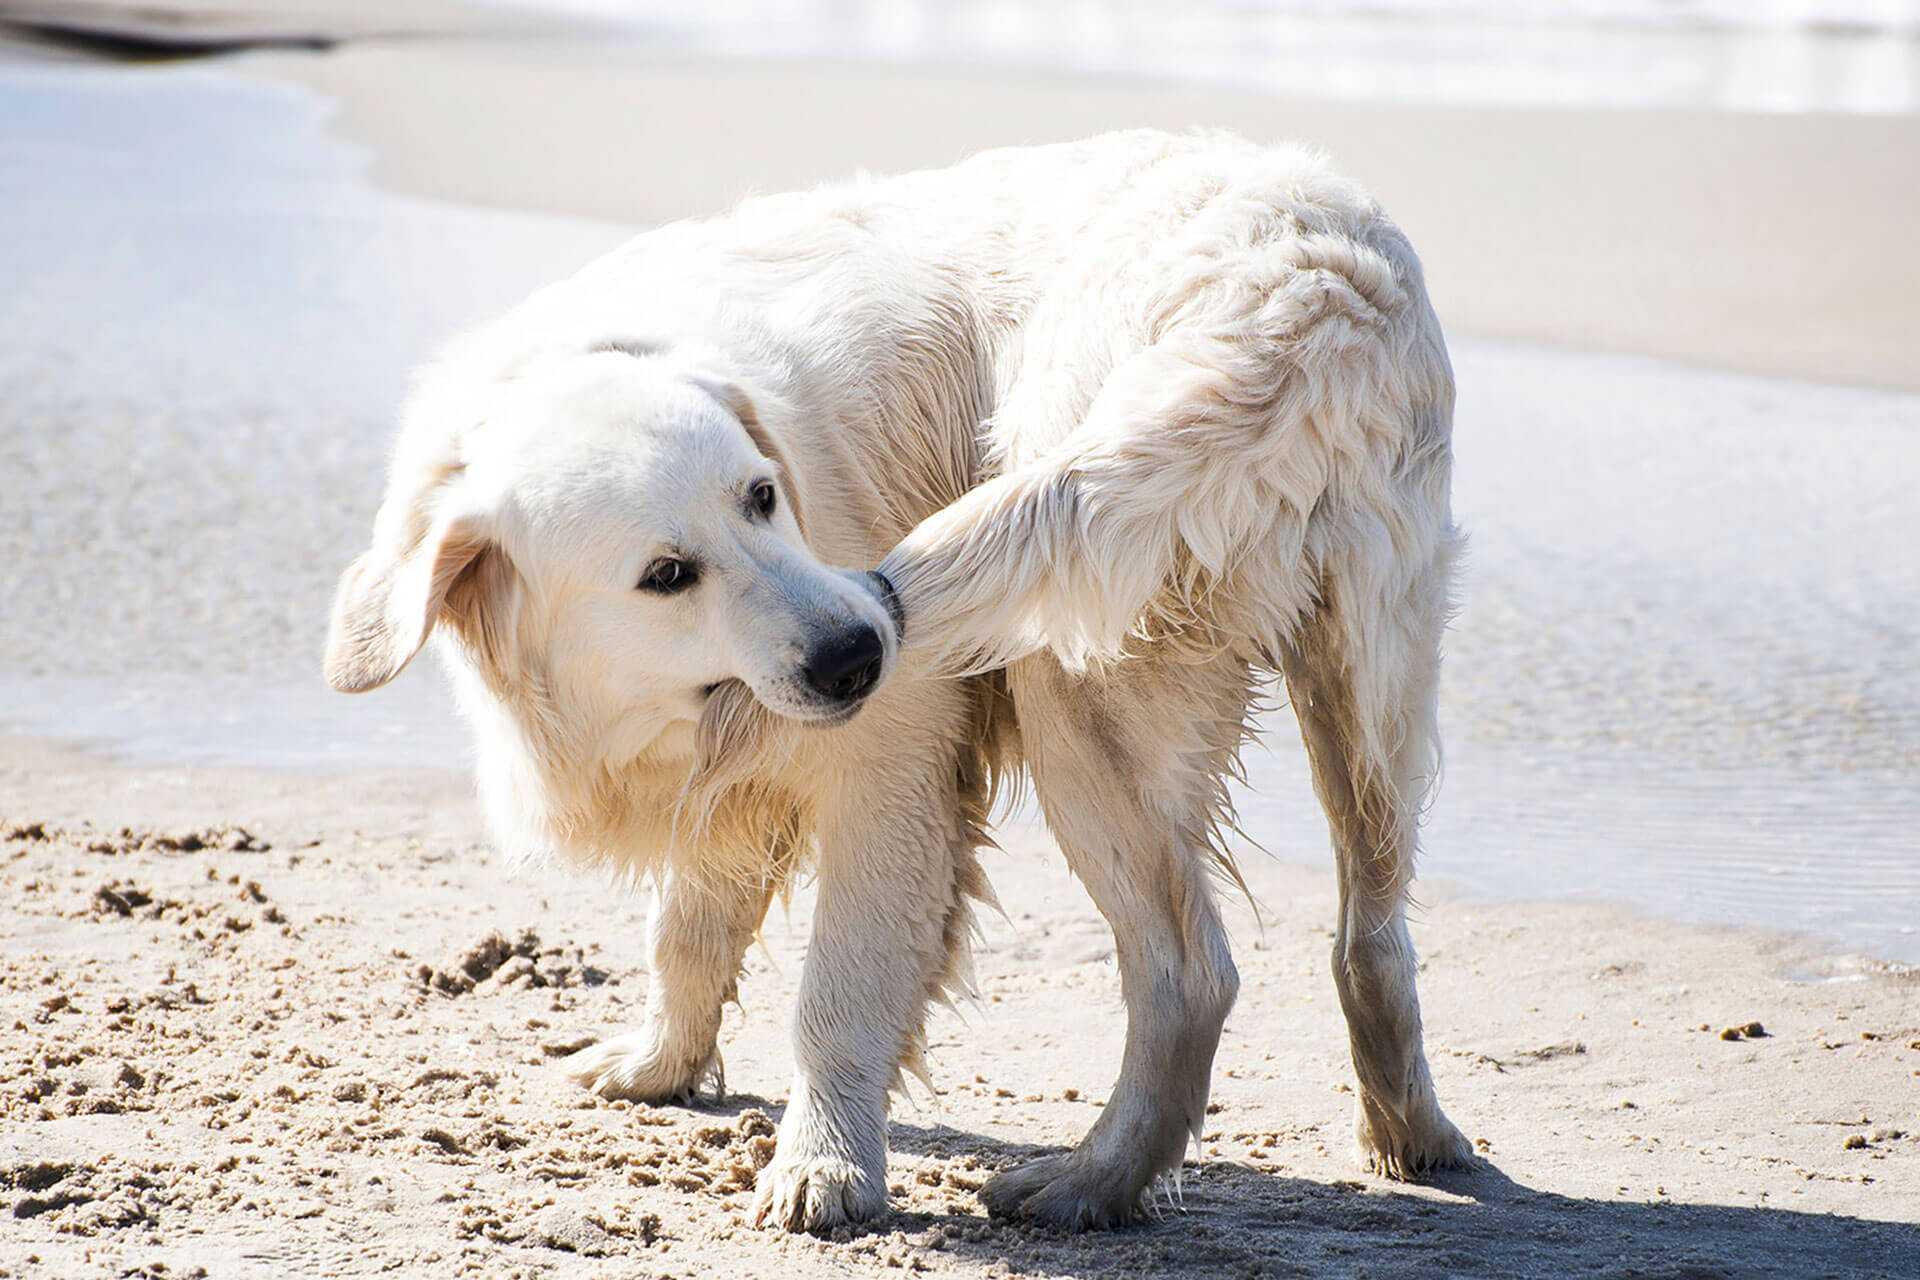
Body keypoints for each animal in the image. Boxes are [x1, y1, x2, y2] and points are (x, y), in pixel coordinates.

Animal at [326, 130, 1466, 1228]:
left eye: (762, 496)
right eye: (666, 575)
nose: (859, 652)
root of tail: (1304, 291)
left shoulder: (893, 765)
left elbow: (838, 991)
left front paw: (824, 1165)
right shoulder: (725, 772)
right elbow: (686, 930)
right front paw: (658, 1065)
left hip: (1076, 678)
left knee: (1192, 973)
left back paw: (1089, 1183)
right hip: (1370, 686)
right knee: (1371, 937)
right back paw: (1413, 1136)